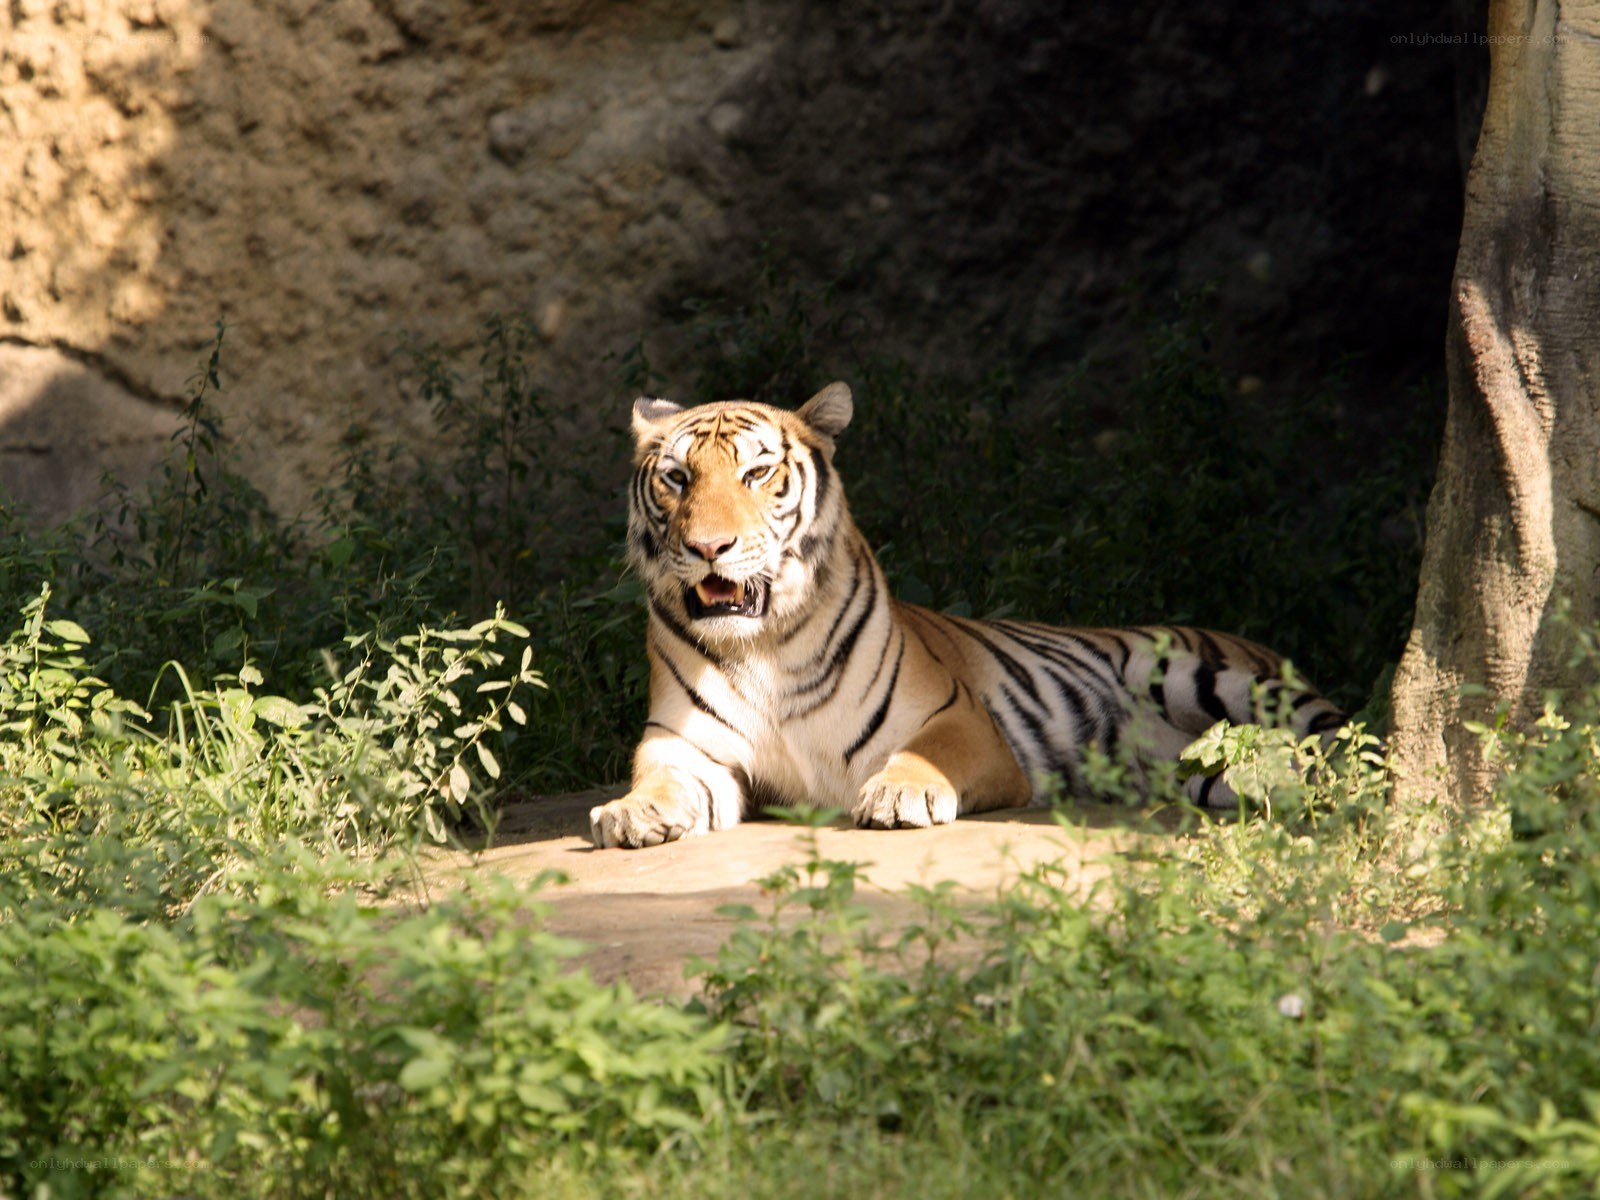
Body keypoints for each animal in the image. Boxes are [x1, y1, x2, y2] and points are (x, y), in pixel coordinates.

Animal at [588, 381, 1346, 849]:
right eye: (677, 477)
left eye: (756, 474)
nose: (707, 547)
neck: (763, 646)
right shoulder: (685, 743)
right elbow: (662, 776)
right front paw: (631, 812)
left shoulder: (958, 717)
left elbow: (928, 755)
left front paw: (899, 796)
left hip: (1192, 672)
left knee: (1337, 742)